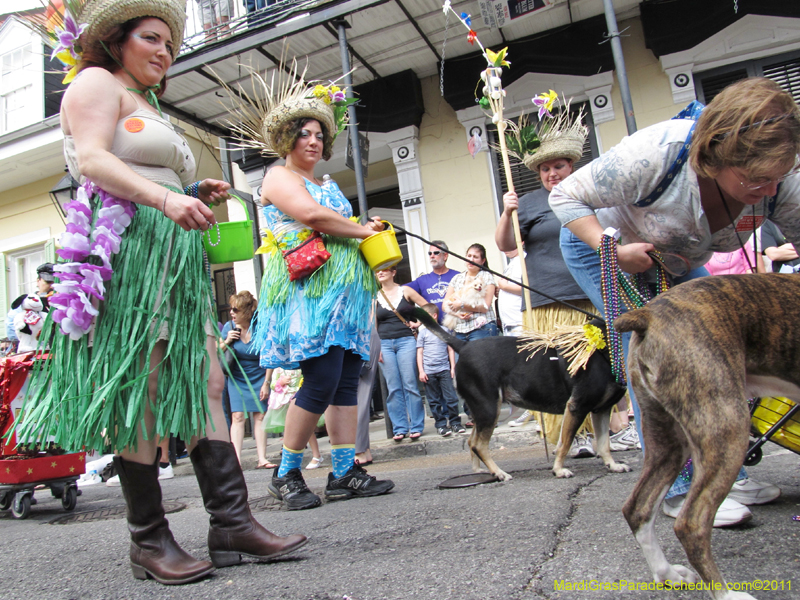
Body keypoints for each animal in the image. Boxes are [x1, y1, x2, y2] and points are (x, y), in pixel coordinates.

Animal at [412, 308, 632, 480]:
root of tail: (464, 345)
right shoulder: (577, 407)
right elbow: (565, 443)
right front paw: (559, 470)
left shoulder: (601, 410)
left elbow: (604, 444)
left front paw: (613, 465)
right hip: (489, 408)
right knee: (478, 445)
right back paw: (499, 473)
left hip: (483, 411)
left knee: (472, 442)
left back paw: (481, 472)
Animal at [616, 274, 796, 596]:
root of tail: (649, 313)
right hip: (727, 424)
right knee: (691, 524)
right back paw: (727, 594)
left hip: (669, 438)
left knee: (638, 508)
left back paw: (668, 574)